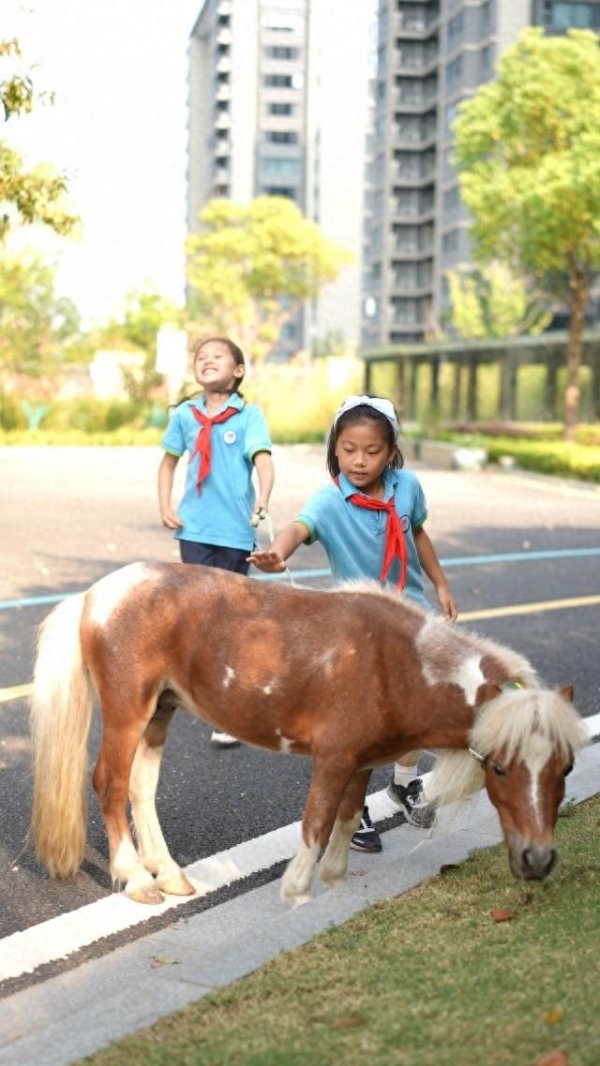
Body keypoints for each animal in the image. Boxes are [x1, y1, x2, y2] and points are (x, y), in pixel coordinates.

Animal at [30, 562, 588, 903]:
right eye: (499, 767)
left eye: (566, 767)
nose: (538, 860)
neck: (396, 662)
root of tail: (94, 595)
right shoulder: (334, 758)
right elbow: (316, 821)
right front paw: (298, 889)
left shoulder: (363, 761)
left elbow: (346, 818)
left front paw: (336, 878)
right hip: (129, 709)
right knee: (109, 782)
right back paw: (136, 880)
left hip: (160, 712)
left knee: (141, 789)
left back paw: (167, 874)